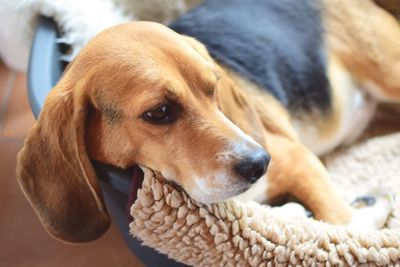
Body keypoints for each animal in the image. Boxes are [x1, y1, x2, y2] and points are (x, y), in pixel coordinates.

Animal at [17, 0, 398, 244]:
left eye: (214, 87)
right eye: (159, 112)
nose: (261, 162)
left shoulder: (297, 159)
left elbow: (343, 222)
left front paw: (369, 210)